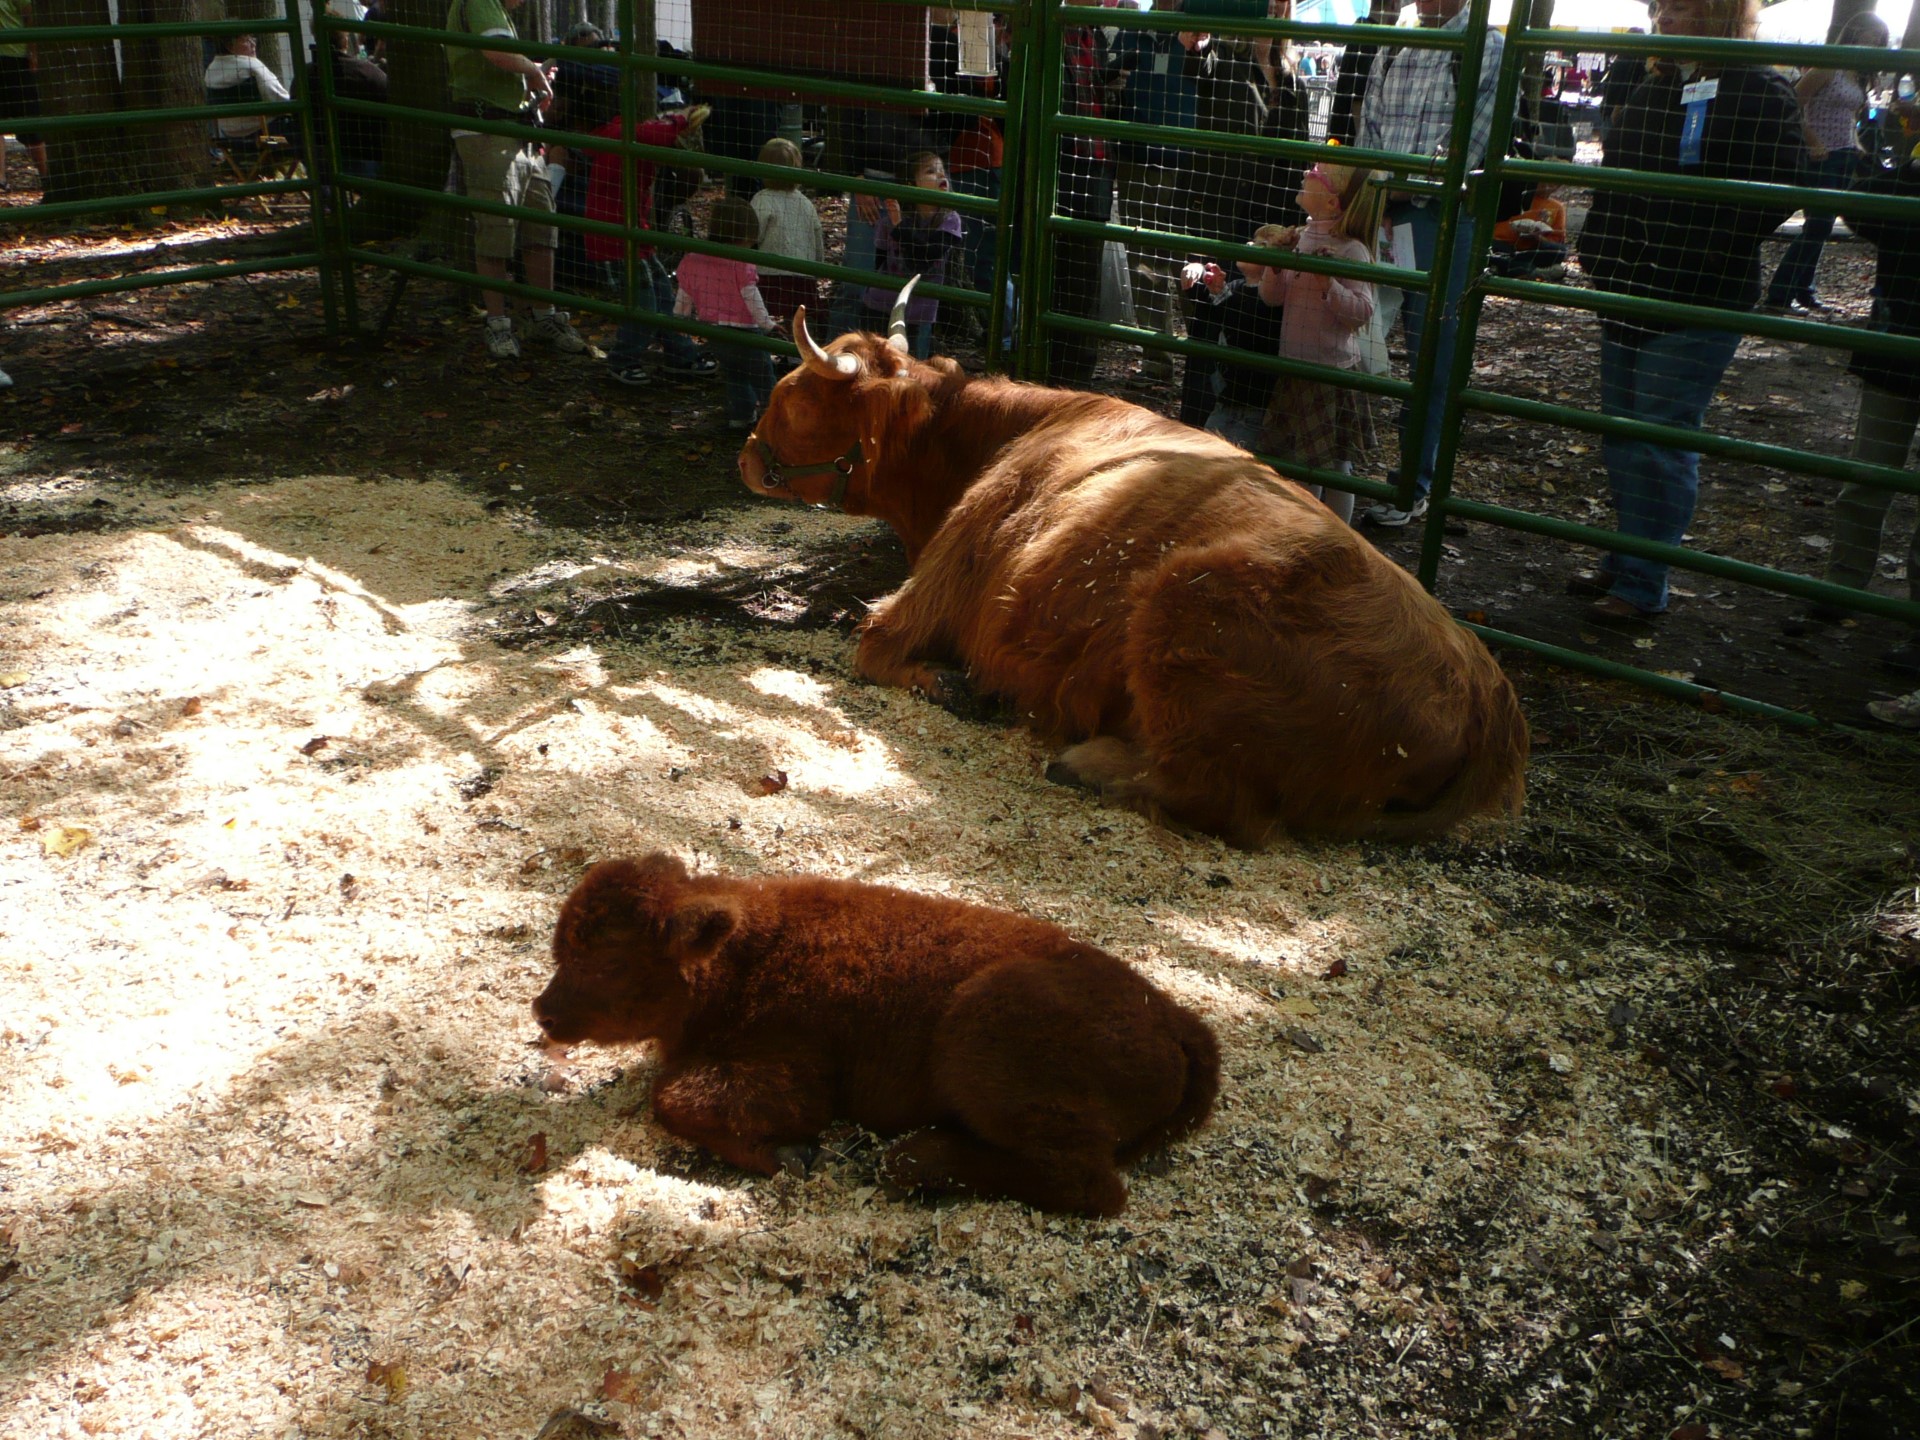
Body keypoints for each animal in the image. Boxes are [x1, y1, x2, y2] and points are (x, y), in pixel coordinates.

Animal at [529, 856, 1213, 1221]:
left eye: (609, 962)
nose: (545, 1013)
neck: (738, 958)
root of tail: (1174, 1020)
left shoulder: (795, 1078)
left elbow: (670, 1098)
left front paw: (790, 1156)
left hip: (977, 1039)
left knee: (1092, 1184)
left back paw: (911, 1160)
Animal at [737, 289, 1528, 844]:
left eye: (793, 398)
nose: (745, 454)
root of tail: (1488, 697)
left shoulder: (939, 581)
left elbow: (872, 643)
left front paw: (950, 683)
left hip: (1186, 608)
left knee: (1224, 805)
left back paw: (1082, 762)